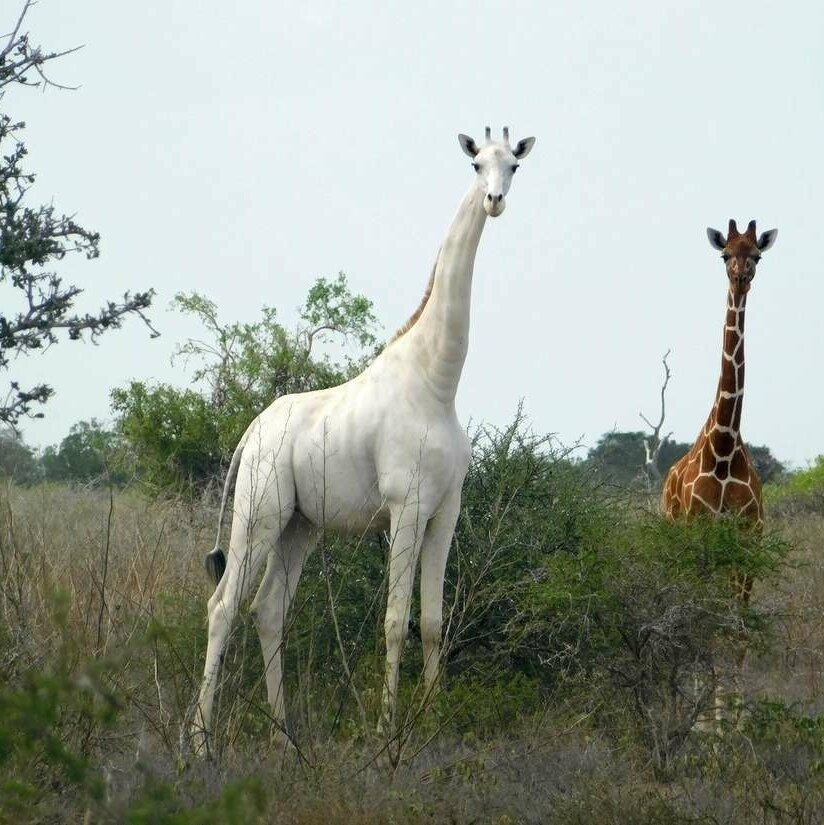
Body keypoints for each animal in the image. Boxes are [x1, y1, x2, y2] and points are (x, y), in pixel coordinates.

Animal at [193, 125, 536, 748]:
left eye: (514, 167)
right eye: (476, 164)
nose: (495, 201)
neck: (437, 382)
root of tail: (250, 433)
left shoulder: (446, 509)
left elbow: (433, 620)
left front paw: (431, 722)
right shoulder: (406, 505)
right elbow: (396, 620)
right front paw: (385, 731)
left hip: (300, 525)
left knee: (268, 609)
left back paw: (284, 736)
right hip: (259, 511)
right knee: (223, 606)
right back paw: (199, 741)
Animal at [664, 216, 780, 584]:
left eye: (757, 256)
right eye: (724, 254)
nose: (740, 279)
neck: (724, 450)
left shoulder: (748, 537)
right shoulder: (698, 531)